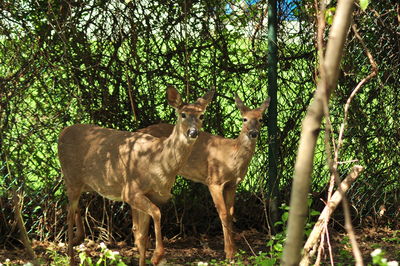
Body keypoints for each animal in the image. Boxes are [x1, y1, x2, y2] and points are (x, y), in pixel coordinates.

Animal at [57, 86, 214, 264]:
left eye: (202, 115)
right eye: (183, 114)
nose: (193, 132)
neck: (158, 163)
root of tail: (62, 132)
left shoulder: (149, 196)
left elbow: (141, 236)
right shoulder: (130, 192)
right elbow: (156, 214)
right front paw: (157, 256)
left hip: (83, 184)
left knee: (73, 207)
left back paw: (79, 239)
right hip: (71, 177)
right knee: (68, 214)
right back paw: (71, 257)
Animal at [139, 93, 270, 260]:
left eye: (261, 119)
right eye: (244, 119)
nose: (253, 133)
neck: (232, 156)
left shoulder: (232, 184)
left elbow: (231, 213)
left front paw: (234, 250)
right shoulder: (214, 180)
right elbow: (223, 214)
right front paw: (229, 253)